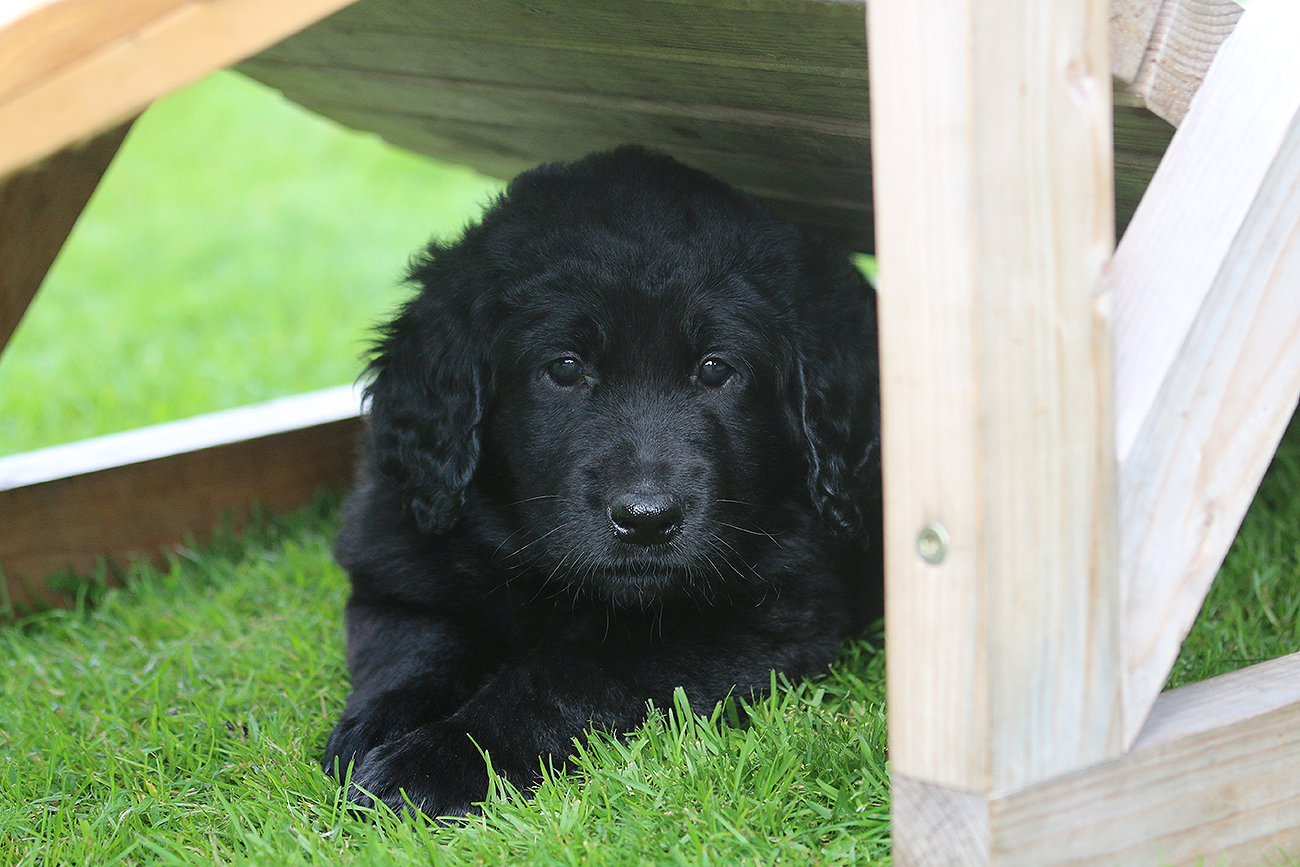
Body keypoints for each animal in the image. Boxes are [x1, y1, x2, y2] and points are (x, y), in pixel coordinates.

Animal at [323, 146, 882, 818]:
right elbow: (416, 645)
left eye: (716, 369)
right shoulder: (402, 562)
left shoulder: (759, 615)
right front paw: (377, 725)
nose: (647, 520)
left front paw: (435, 761)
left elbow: (566, 675)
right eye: (565, 368)